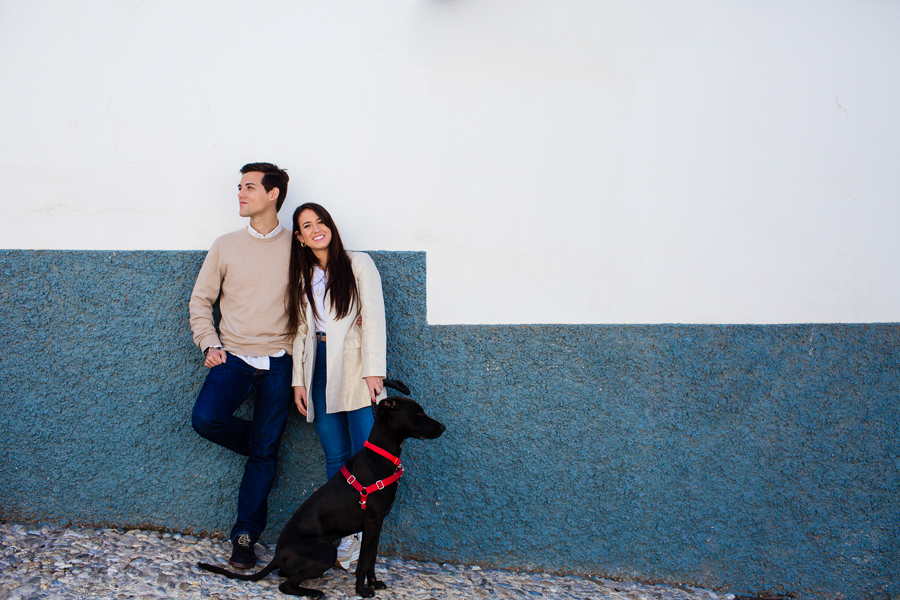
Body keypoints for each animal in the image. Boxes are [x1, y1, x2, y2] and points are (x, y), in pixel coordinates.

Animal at [200, 394, 446, 596]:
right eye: (418, 413)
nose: (443, 426)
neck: (381, 455)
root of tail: (277, 555)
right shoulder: (372, 523)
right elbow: (363, 563)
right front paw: (362, 591)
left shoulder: (377, 525)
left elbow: (372, 560)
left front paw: (374, 584)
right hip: (327, 550)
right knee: (284, 585)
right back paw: (313, 592)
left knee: (284, 575)